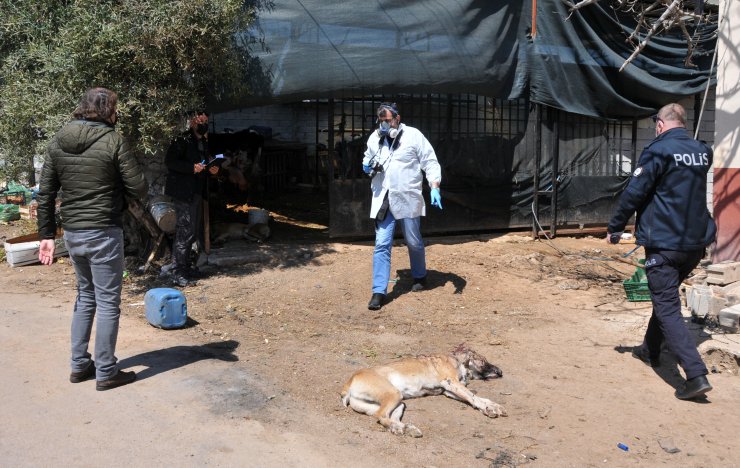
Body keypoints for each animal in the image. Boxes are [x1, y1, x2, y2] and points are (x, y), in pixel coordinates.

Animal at [340, 342, 502, 436]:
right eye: (483, 361)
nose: (500, 372)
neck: (456, 360)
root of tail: (349, 382)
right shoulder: (450, 383)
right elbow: (473, 397)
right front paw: (488, 408)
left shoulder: (450, 391)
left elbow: (477, 397)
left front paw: (492, 406)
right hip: (394, 394)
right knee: (380, 415)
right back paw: (402, 428)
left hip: (398, 403)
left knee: (387, 417)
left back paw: (406, 428)